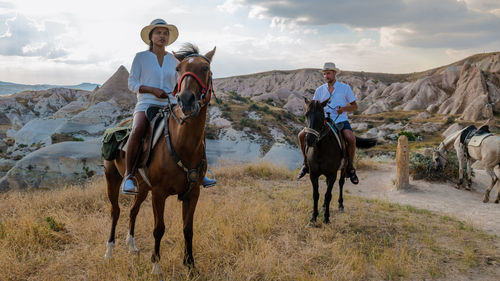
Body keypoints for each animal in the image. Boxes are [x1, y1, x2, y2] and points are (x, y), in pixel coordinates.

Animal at [103, 43, 215, 274]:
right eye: (179, 69)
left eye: (205, 69)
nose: (186, 99)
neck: (183, 145)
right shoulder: (159, 194)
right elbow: (159, 229)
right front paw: (156, 266)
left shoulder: (193, 193)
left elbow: (188, 229)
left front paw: (190, 266)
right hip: (113, 178)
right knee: (115, 211)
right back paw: (109, 251)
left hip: (142, 188)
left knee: (133, 211)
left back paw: (132, 247)